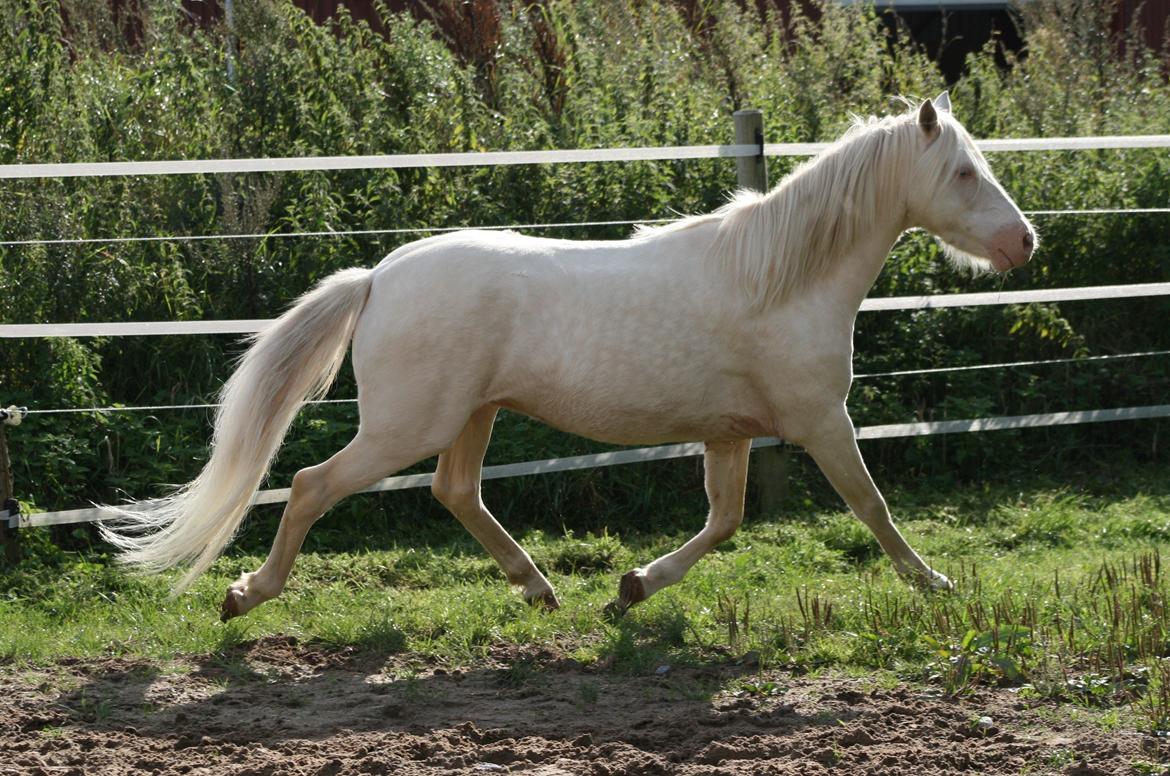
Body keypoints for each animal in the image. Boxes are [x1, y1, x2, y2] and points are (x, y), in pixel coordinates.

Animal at [100, 93, 1035, 621]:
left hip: (472, 417)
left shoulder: (730, 432)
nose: (1023, 241)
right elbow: (872, 507)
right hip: (410, 425)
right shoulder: (818, 420)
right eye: (961, 172)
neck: (778, 280)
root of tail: (377, 279)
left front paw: (632, 590)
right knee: (308, 485)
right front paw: (937, 585)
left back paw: (540, 589)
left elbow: (724, 520)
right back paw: (244, 597)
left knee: (456, 492)